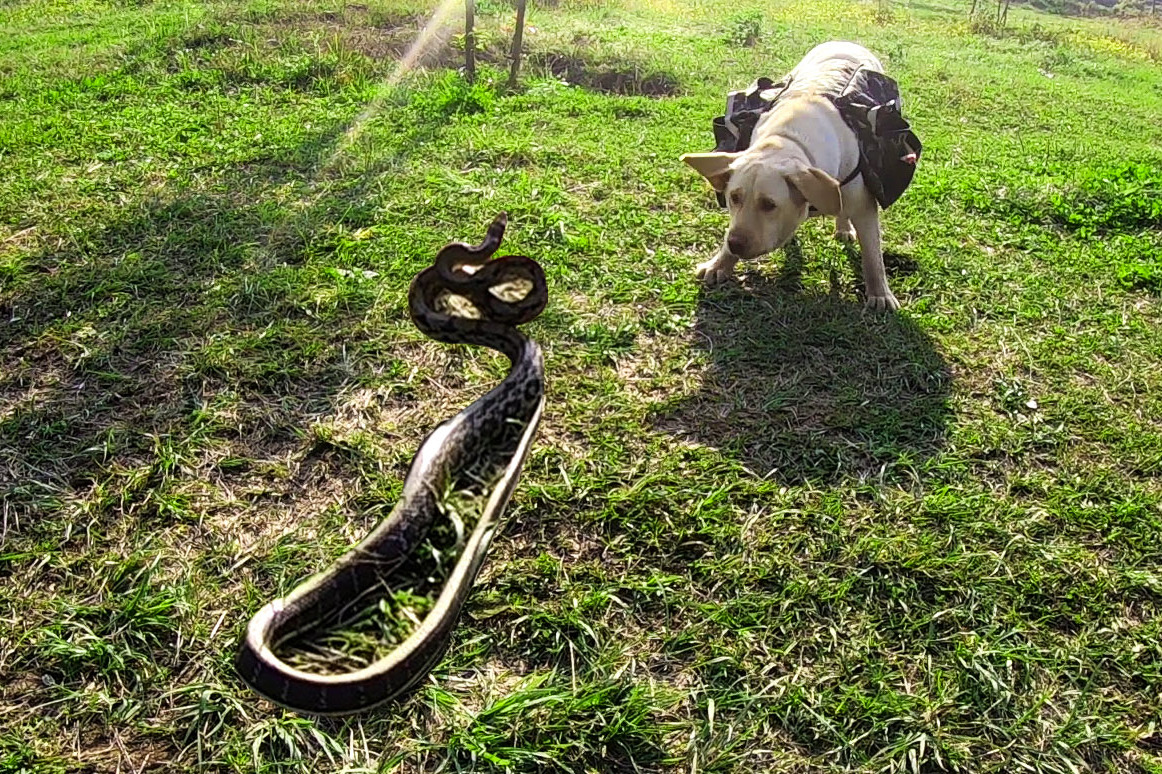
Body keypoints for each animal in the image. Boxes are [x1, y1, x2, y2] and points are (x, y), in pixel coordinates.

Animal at [683, 41, 901, 311]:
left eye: (769, 204)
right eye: (733, 198)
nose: (735, 243)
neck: (786, 140)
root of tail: (845, 42)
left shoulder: (863, 206)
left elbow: (873, 256)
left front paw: (880, 293)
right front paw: (719, 263)